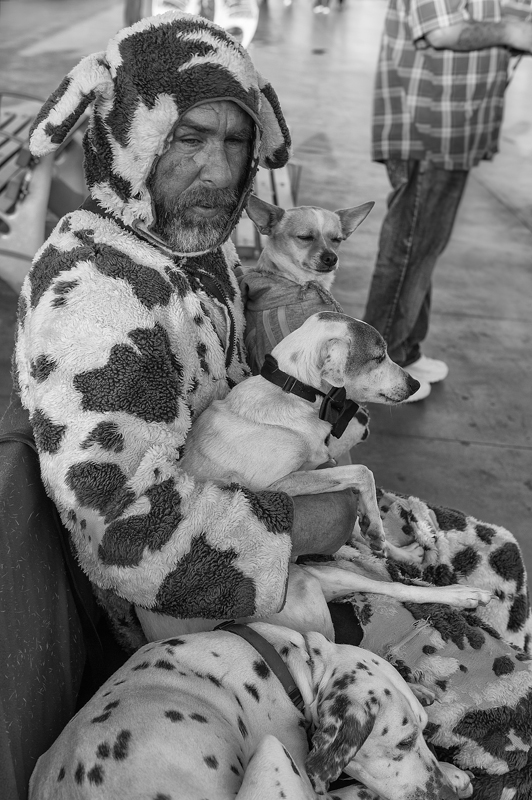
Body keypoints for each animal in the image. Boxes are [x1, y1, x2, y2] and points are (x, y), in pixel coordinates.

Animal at [29, 624, 472, 800]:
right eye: (404, 742)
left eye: (422, 733)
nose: (445, 794)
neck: (286, 666)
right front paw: (454, 774)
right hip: (274, 754)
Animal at [136, 312, 490, 644]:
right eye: (379, 356)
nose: (415, 384)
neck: (293, 393)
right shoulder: (275, 486)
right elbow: (363, 473)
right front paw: (376, 526)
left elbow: (360, 517)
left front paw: (383, 540)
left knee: (396, 588)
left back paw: (448, 585)